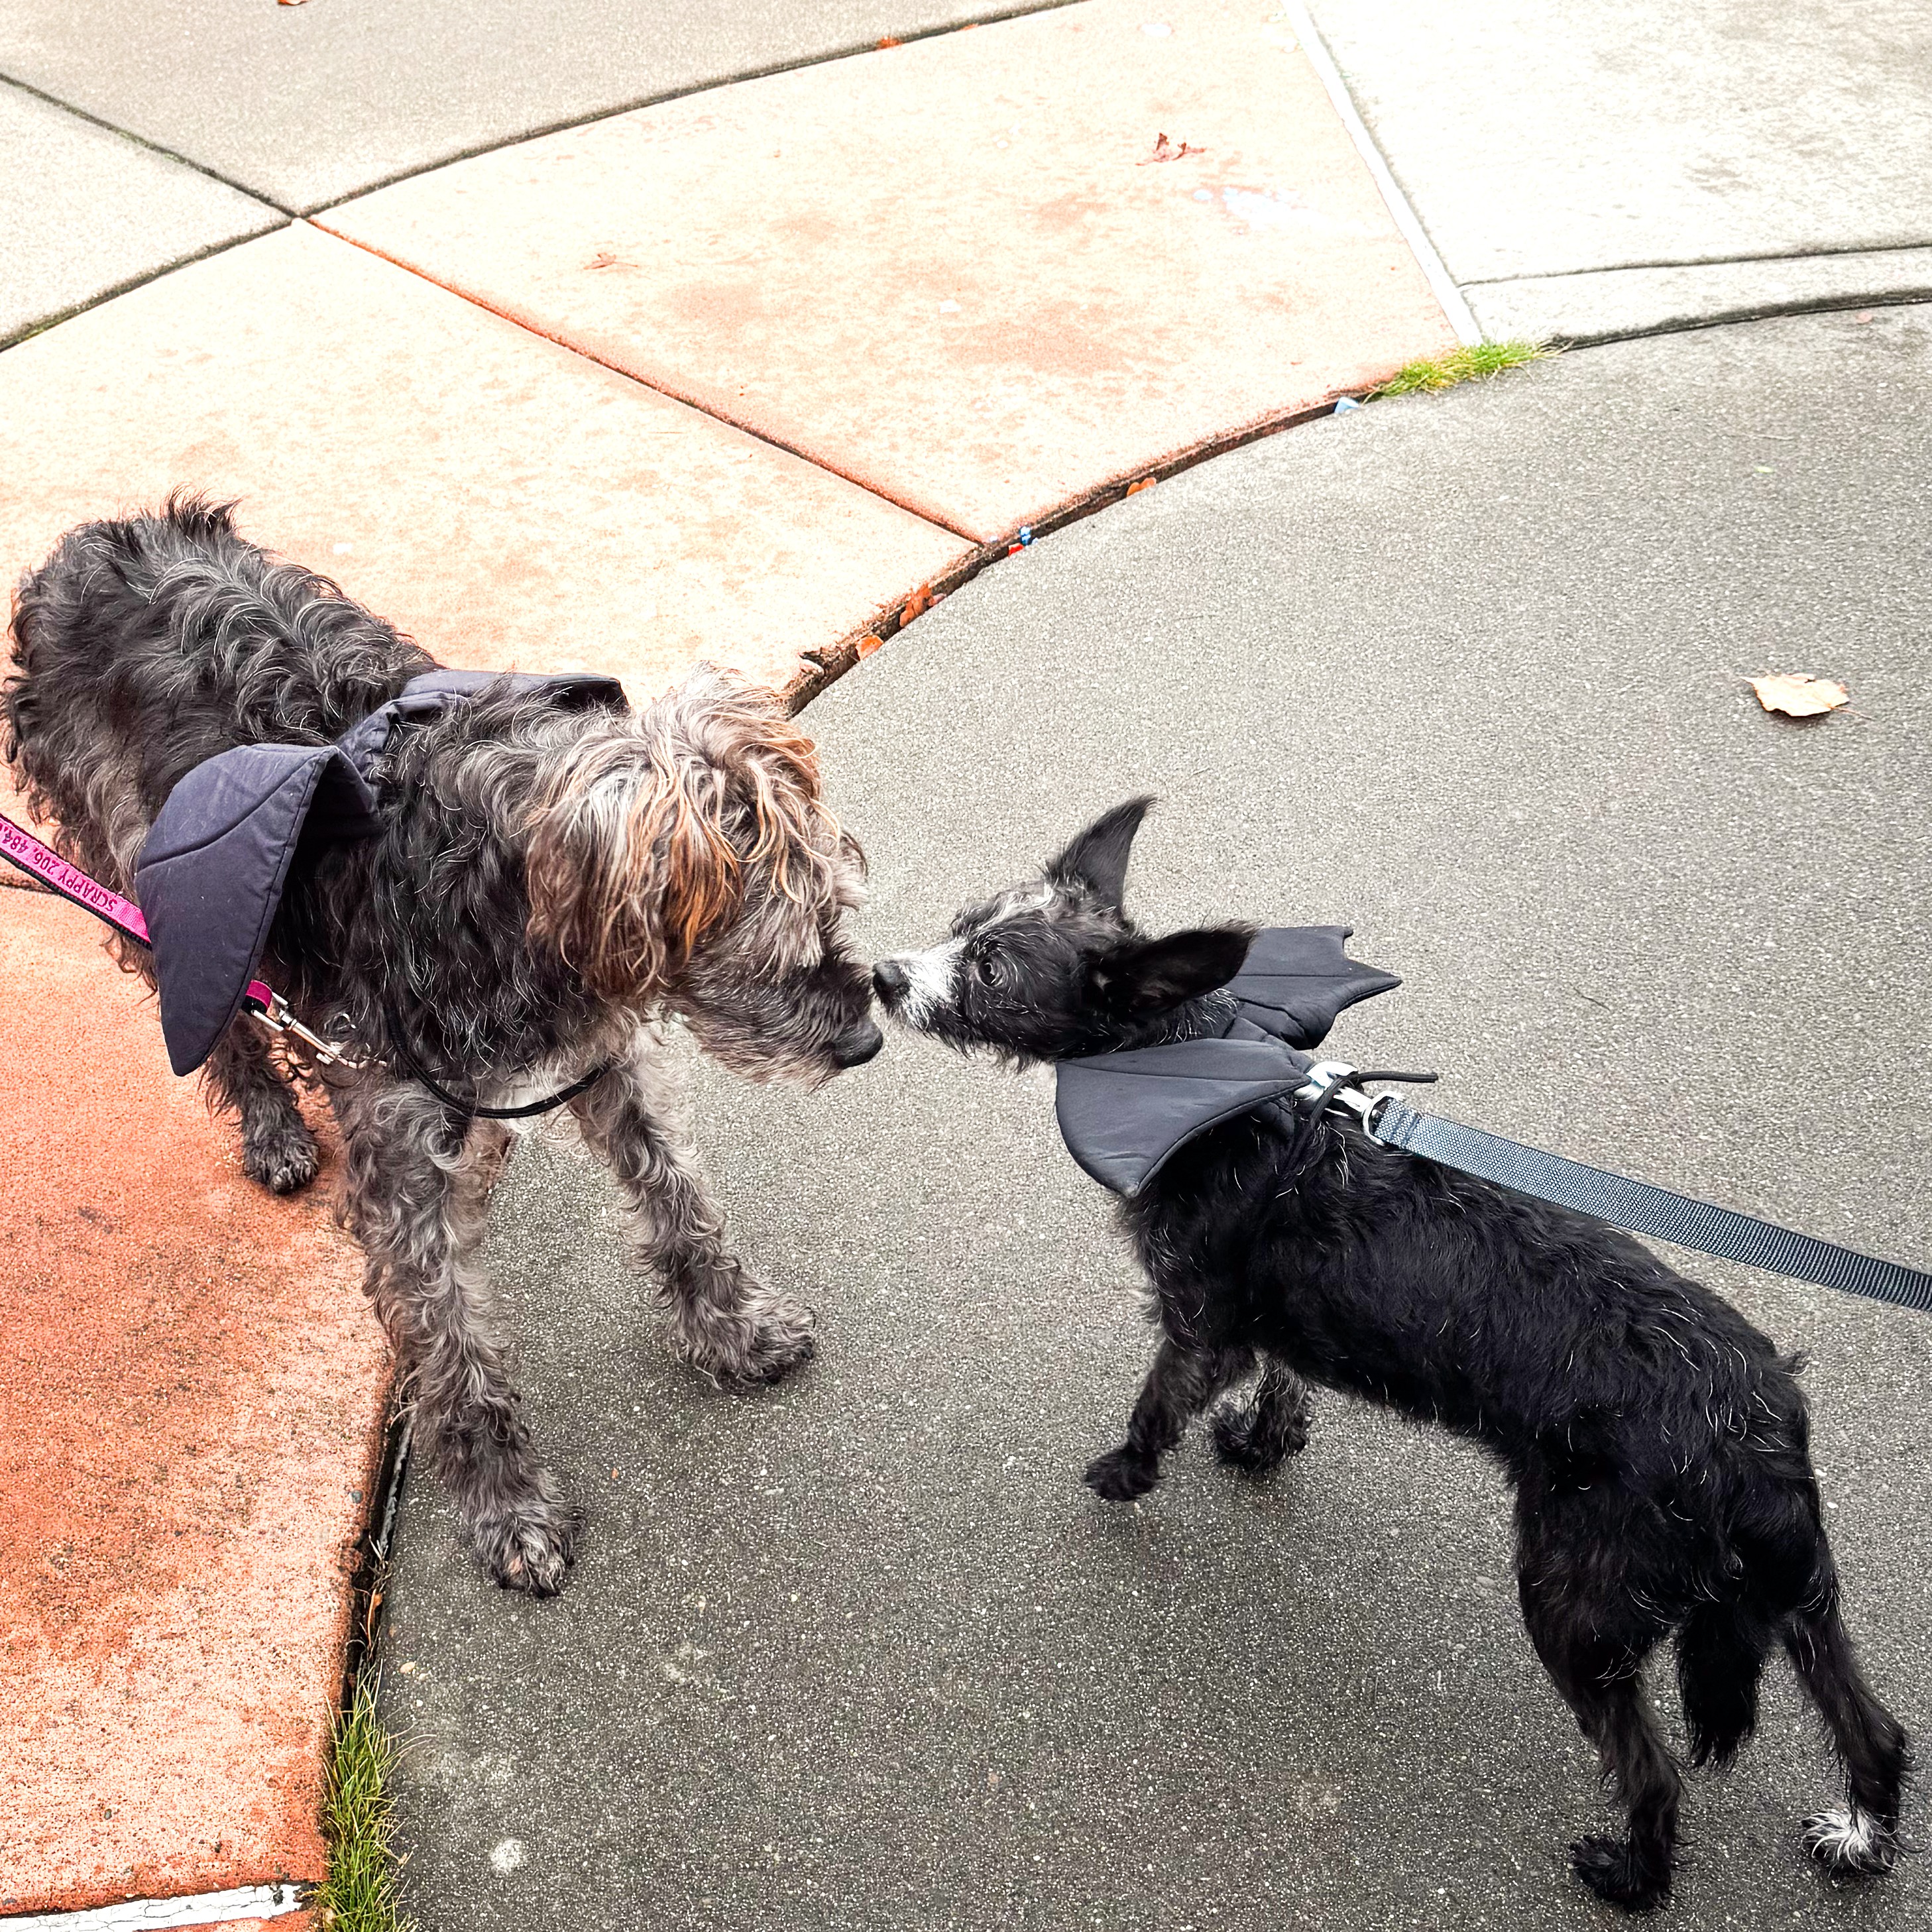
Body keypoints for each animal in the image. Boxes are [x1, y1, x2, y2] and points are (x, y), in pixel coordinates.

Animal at [5, 496, 881, 1595]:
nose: (867, 1037)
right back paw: (273, 1126)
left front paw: (731, 1325)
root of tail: (79, 552)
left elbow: (677, 1194)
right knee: (223, 1024)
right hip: (139, 879)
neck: (493, 885)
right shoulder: (397, 1149)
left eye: (833, 911)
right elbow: (455, 1347)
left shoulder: (604, 1058)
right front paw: (506, 1506)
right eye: (782, 947)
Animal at [871, 796, 1909, 1910]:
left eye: (989, 968)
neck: (1194, 1063)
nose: (883, 974)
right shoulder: (1266, 1317)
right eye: (958, 924)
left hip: (1574, 1597)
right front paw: (1261, 1441)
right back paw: (1860, 1835)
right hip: (1796, 1589)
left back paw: (1630, 1871)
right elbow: (1281, 1376)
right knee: (1875, 1727)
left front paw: (1126, 1470)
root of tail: (1749, 1432)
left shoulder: (1198, 1321)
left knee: (1654, 1767)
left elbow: (1157, 1398)